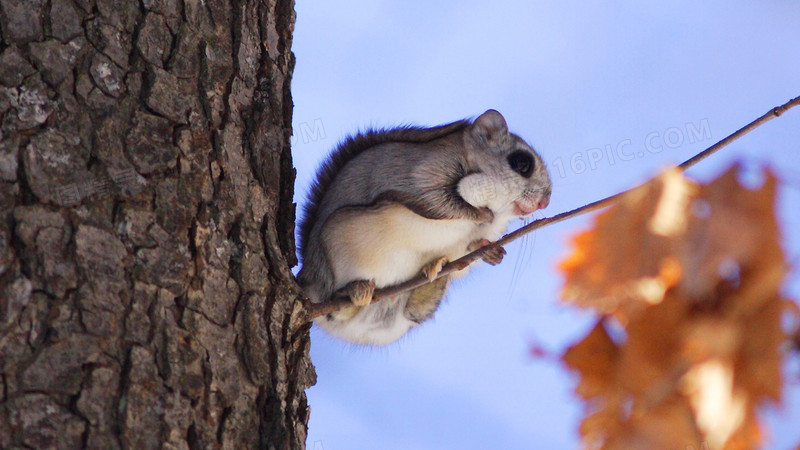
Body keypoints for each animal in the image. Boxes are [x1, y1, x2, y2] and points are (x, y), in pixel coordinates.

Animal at [296, 110, 552, 346]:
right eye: (522, 163)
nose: (545, 202)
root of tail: (309, 279)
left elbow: (473, 243)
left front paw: (490, 250)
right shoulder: (423, 173)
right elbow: (438, 202)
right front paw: (480, 213)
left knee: (414, 311)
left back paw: (434, 272)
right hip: (340, 242)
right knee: (335, 308)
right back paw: (355, 291)